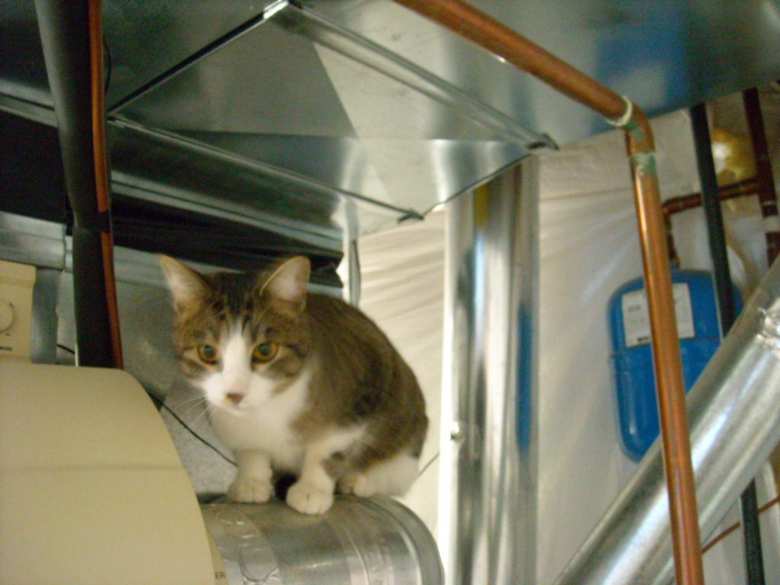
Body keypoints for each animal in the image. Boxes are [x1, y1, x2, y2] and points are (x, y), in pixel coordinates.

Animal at [158, 253, 426, 512]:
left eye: (265, 350)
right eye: (207, 351)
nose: (235, 394)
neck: (269, 410)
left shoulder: (359, 400)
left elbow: (325, 450)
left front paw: (312, 489)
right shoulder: (235, 428)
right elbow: (251, 451)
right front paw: (251, 481)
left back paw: (358, 480)